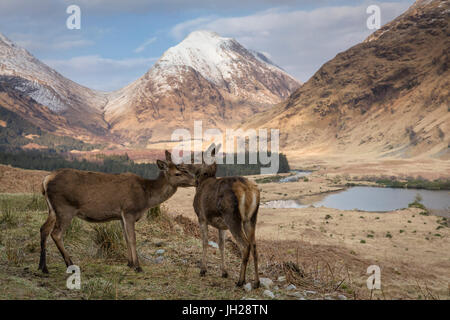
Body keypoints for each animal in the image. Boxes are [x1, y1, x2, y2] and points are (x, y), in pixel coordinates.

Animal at [38, 154, 193, 274]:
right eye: (178, 173)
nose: (195, 179)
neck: (147, 197)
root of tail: (45, 180)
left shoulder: (121, 216)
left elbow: (125, 238)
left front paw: (129, 264)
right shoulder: (129, 211)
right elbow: (132, 239)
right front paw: (138, 266)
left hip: (52, 209)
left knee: (43, 228)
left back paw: (43, 267)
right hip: (65, 207)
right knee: (56, 233)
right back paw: (70, 264)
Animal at [181, 144, 262, 288]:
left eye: (194, 158)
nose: (181, 165)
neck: (201, 183)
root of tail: (248, 190)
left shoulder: (201, 217)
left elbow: (205, 241)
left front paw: (203, 270)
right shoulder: (221, 225)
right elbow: (221, 245)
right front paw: (224, 272)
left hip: (232, 216)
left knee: (245, 245)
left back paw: (240, 281)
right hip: (251, 218)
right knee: (254, 245)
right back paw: (257, 282)